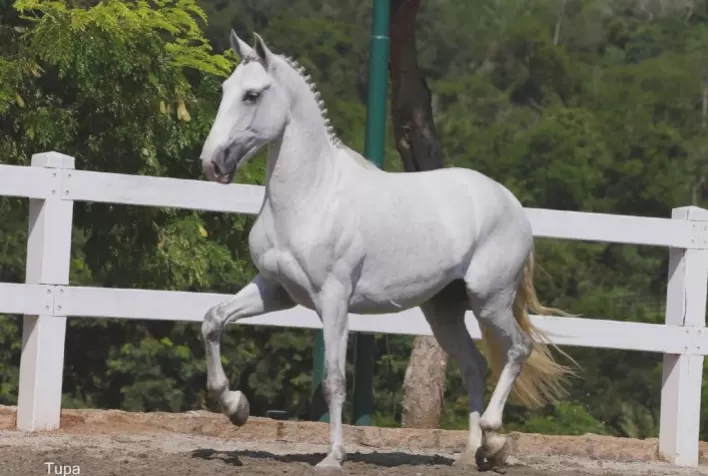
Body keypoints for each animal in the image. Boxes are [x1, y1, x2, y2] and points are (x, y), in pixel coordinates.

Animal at [198, 30, 577, 474]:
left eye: (252, 95)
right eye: (225, 89)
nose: (212, 163)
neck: (312, 195)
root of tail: (512, 205)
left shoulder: (333, 299)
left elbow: (334, 380)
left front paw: (332, 457)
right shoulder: (274, 289)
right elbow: (213, 321)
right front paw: (235, 406)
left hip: (490, 300)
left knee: (518, 349)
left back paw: (493, 437)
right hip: (444, 311)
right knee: (474, 365)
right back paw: (471, 452)